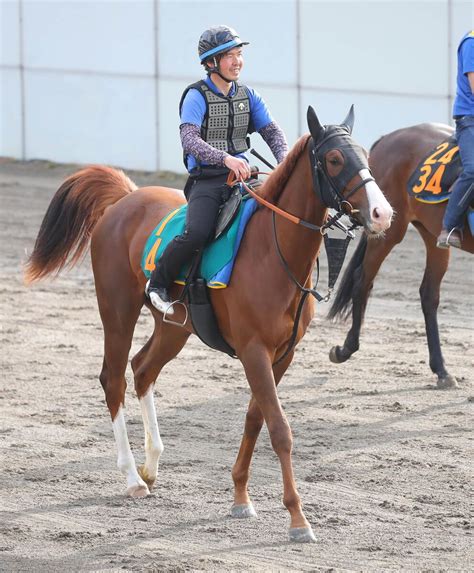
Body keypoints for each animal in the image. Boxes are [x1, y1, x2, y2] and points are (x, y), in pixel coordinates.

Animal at [24, 107, 392, 540]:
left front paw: (240, 497)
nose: (382, 213)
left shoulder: (282, 354)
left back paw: (151, 464)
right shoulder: (253, 351)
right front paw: (298, 519)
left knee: (142, 369)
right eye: (334, 159)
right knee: (113, 379)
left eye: (365, 155)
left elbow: (255, 419)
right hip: (117, 311)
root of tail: (126, 197)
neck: (272, 251)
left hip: (173, 326)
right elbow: (279, 429)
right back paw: (132, 477)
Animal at [330, 122, 474, 388]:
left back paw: (441, 370)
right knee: (362, 279)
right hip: (388, 230)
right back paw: (345, 349)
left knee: (428, 294)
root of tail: (388, 138)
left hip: (432, 234)